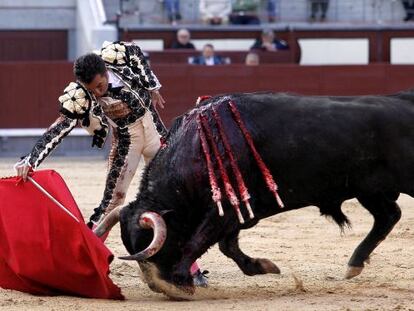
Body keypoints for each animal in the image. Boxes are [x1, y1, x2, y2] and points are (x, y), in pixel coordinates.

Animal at [116, 92, 410, 298]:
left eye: (153, 244)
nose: (157, 285)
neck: (195, 149)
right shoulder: (236, 211)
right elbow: (227, 246)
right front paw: (262, 266)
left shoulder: (225, 209)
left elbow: (198, 241)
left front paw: (179, 282)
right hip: (369, 190)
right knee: (389, 215)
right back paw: (354, 264)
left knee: (389, 215)